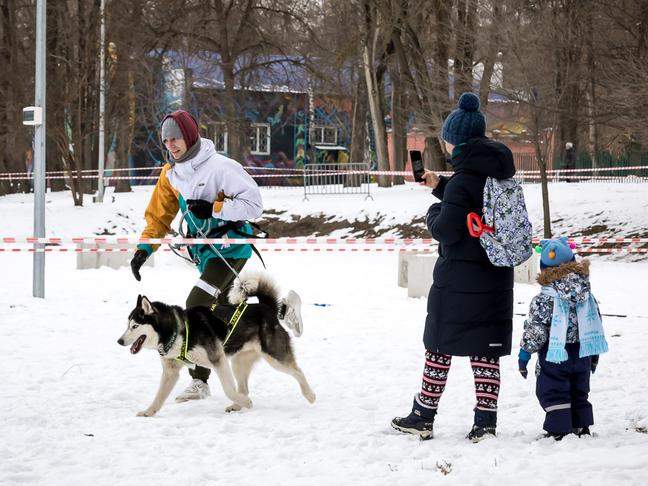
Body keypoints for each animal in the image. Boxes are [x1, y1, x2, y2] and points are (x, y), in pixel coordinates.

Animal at [119, 272, 318, 416]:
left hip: (274, 357)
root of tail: (266, 307)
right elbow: (158, 396)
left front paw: (246, 403)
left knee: (298, 372)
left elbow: (228, 389)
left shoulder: (218, 360)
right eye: (127, 325)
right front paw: (148, 412)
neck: (177, 330)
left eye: (135, 326)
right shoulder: (171, 372)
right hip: (238, 362)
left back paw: (310, 395)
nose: (119, 341)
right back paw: (236, 406)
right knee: (244, 388)